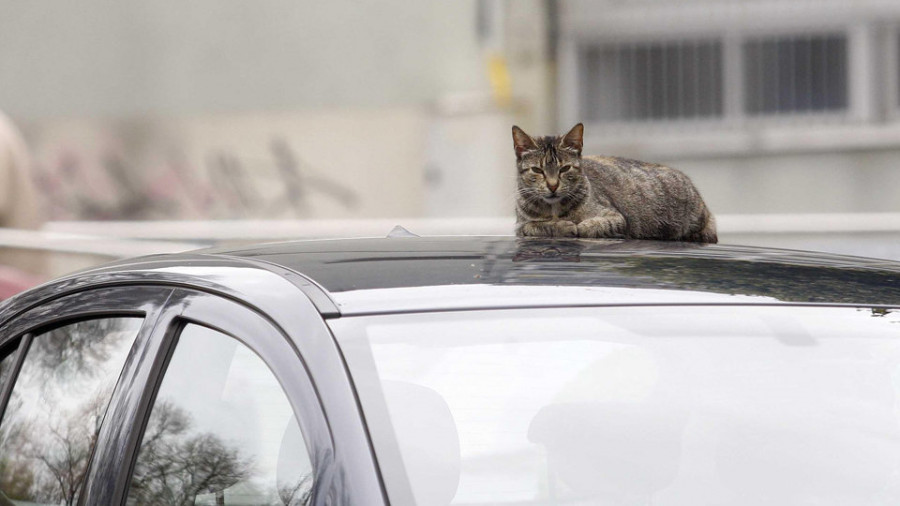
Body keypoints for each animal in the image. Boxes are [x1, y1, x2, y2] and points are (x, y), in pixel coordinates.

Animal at [512, 121, 716, 242]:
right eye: (537, 170)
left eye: (565, 169)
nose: (553, 185)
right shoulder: (520, 226)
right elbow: (536, 226)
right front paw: (561, 226)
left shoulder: (617, 217)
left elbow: (595, 225)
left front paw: (580, 226)